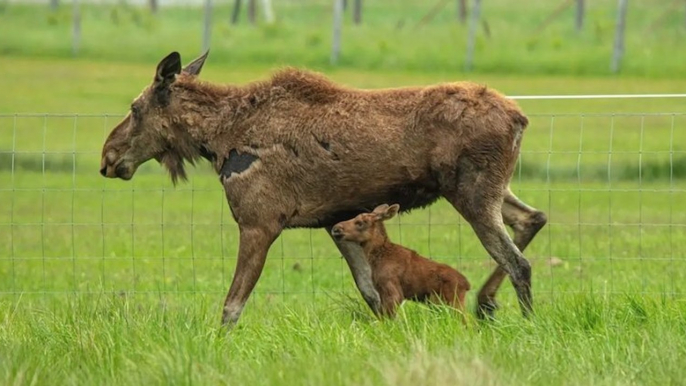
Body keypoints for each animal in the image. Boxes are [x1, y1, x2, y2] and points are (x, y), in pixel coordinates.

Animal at [330, 204, 470, 318]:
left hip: (452, 300)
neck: (376, 259)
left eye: (360, 222)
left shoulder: (392, 289)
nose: (335, 228)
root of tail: (467, 285)